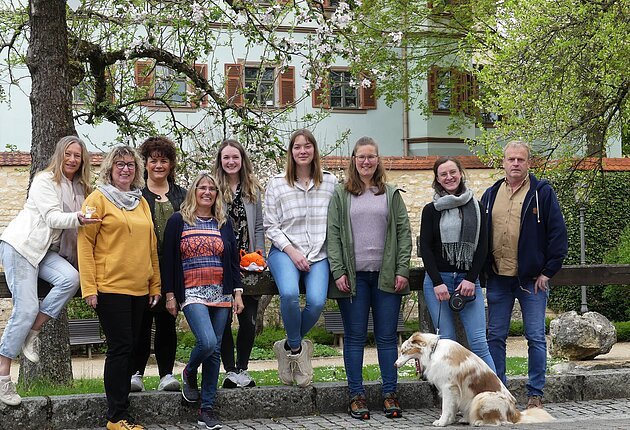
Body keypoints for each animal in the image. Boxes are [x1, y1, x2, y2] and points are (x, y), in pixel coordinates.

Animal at [398, 332, 556, 426]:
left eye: (404, 351)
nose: (394, 364)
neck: (434, 350)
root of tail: (514, 413)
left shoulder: (449, 387)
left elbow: (446, 407)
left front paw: (442, 422)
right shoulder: (452, 391)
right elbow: (451, 408)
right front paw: (449, 421)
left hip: (482, 397)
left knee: (499, 421)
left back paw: (479, 422)